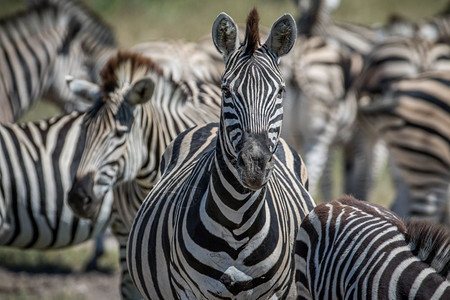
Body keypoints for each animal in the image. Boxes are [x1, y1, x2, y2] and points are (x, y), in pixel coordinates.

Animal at [125, 8, 316, 298]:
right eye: (226, 90)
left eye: (281, 91)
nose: (255, 165)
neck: (237, 220)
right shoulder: (188, 291)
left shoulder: (277, 292)